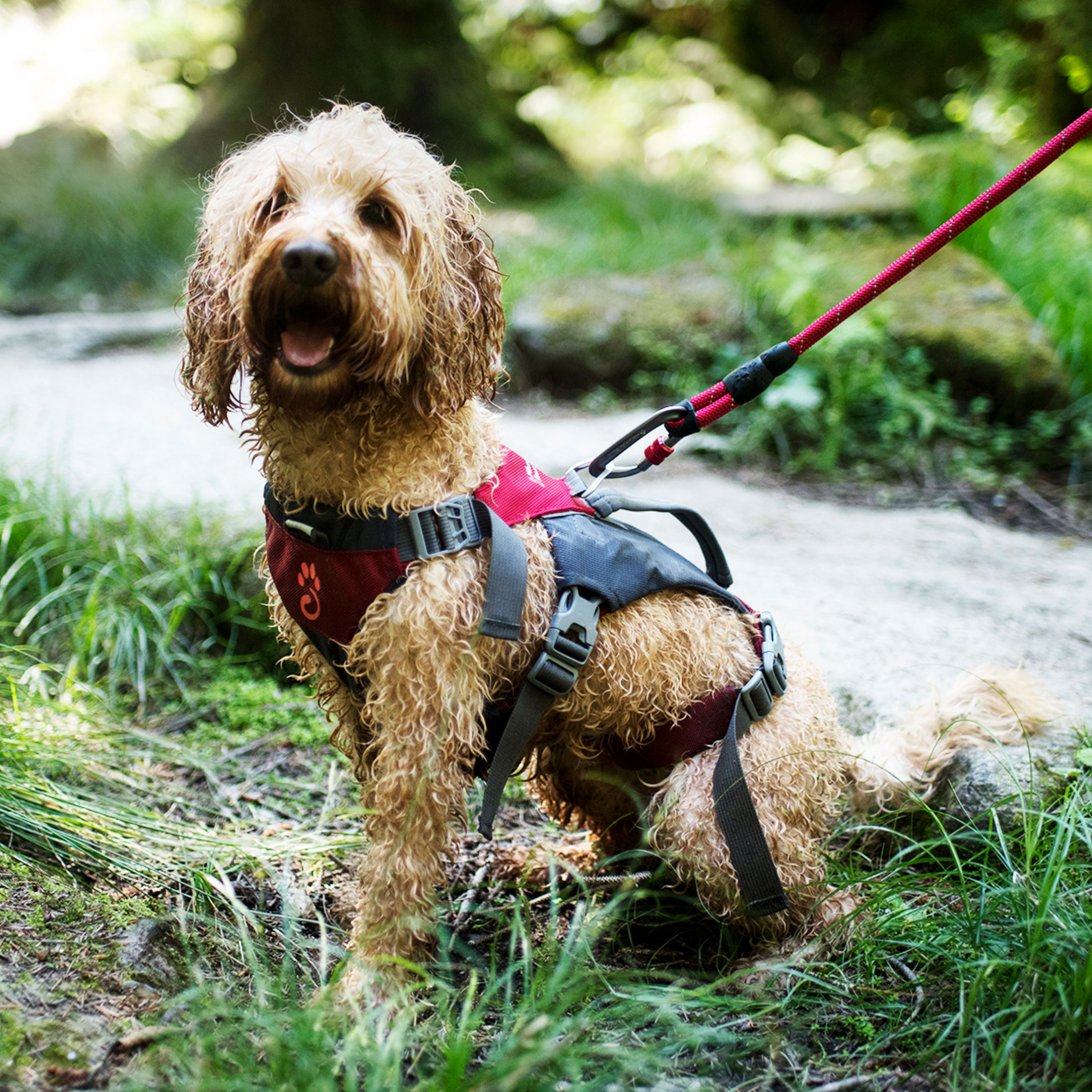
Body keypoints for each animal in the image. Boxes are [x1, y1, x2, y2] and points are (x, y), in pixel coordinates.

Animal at [181, 104, 1057, 991]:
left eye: (378, 214)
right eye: (275, 204)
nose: (307, 256)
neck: (370, 484)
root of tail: (837, 749)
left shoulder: (429, 704)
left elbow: (403, 853)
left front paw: (372, 986)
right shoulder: (359, 699)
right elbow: (389, 833)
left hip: (716, 812)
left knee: (827, 901)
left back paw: (774, 965)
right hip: (572, 751)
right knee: (629, 848)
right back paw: (554, 868)